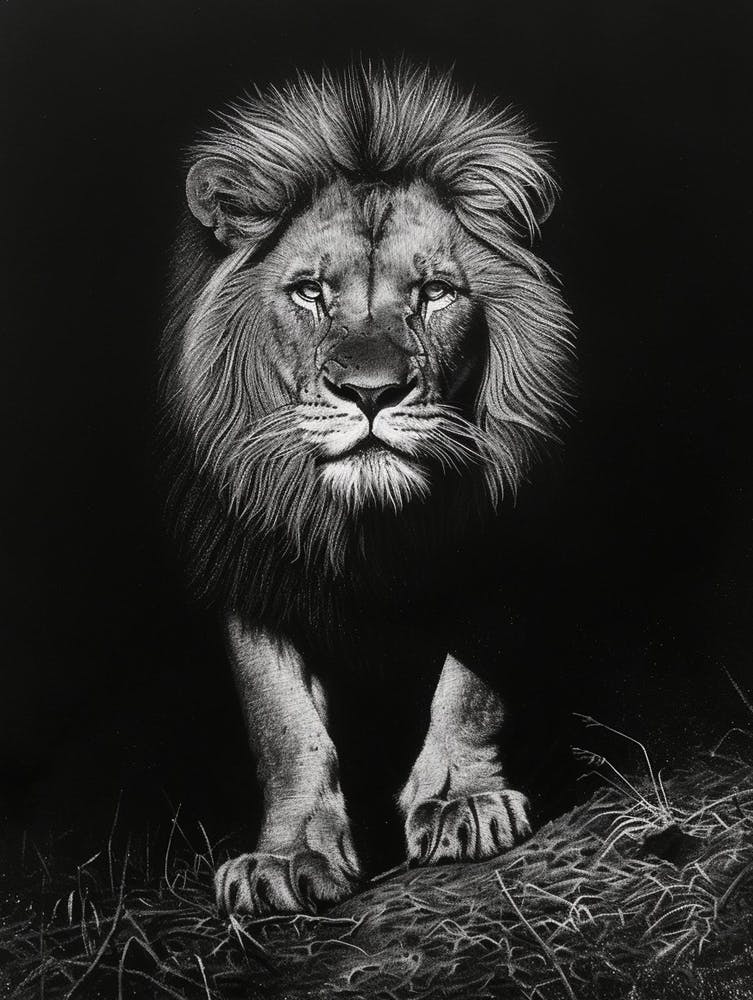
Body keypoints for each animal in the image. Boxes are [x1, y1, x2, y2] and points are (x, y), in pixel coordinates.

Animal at [160, 63, 574, 916]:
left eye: (435, 293)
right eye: (310, 293)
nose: (371, 392)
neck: (374, 528)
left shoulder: (495, 540)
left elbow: (471, 682)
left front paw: (461, 803)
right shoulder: (254, 562)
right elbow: (280, 719)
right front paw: (285, 857)